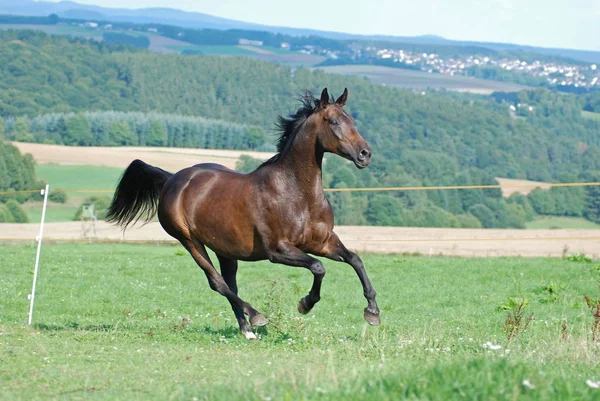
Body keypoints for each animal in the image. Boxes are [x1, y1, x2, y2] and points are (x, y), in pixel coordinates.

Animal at [107, 87, 380, 338]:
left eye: (351, 120)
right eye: (333, 121)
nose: (365, 154)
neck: (297, 194)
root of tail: (172, 179)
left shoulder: (323, 242)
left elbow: (355, 259)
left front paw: (372, 312)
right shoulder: (278, 250)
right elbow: (318, 267)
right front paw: (305, 304)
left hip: (225, 249)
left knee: (230, 283)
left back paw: (246, 329)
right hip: (189, 241)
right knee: (217, 282)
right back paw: (256, 317)